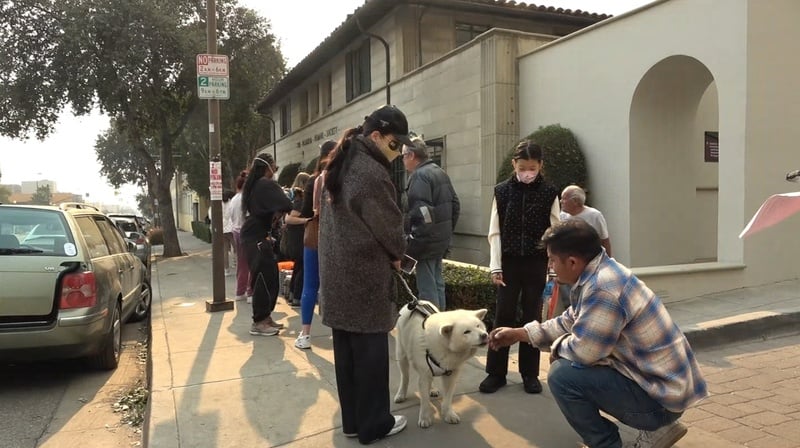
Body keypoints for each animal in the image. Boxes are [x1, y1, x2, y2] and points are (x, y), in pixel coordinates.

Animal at [392, 300, 488, 428]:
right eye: (466, 332)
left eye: (478, 326)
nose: (484, 335)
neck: (446, 347)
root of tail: (416, 301)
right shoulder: (424, 375)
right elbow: (425, 400)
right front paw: (425, 418)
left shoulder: (451, 374)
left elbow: (447, 398)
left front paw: (448, 414)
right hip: (402, 354)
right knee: (405, 377)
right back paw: (401, 394)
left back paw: (432, 389)